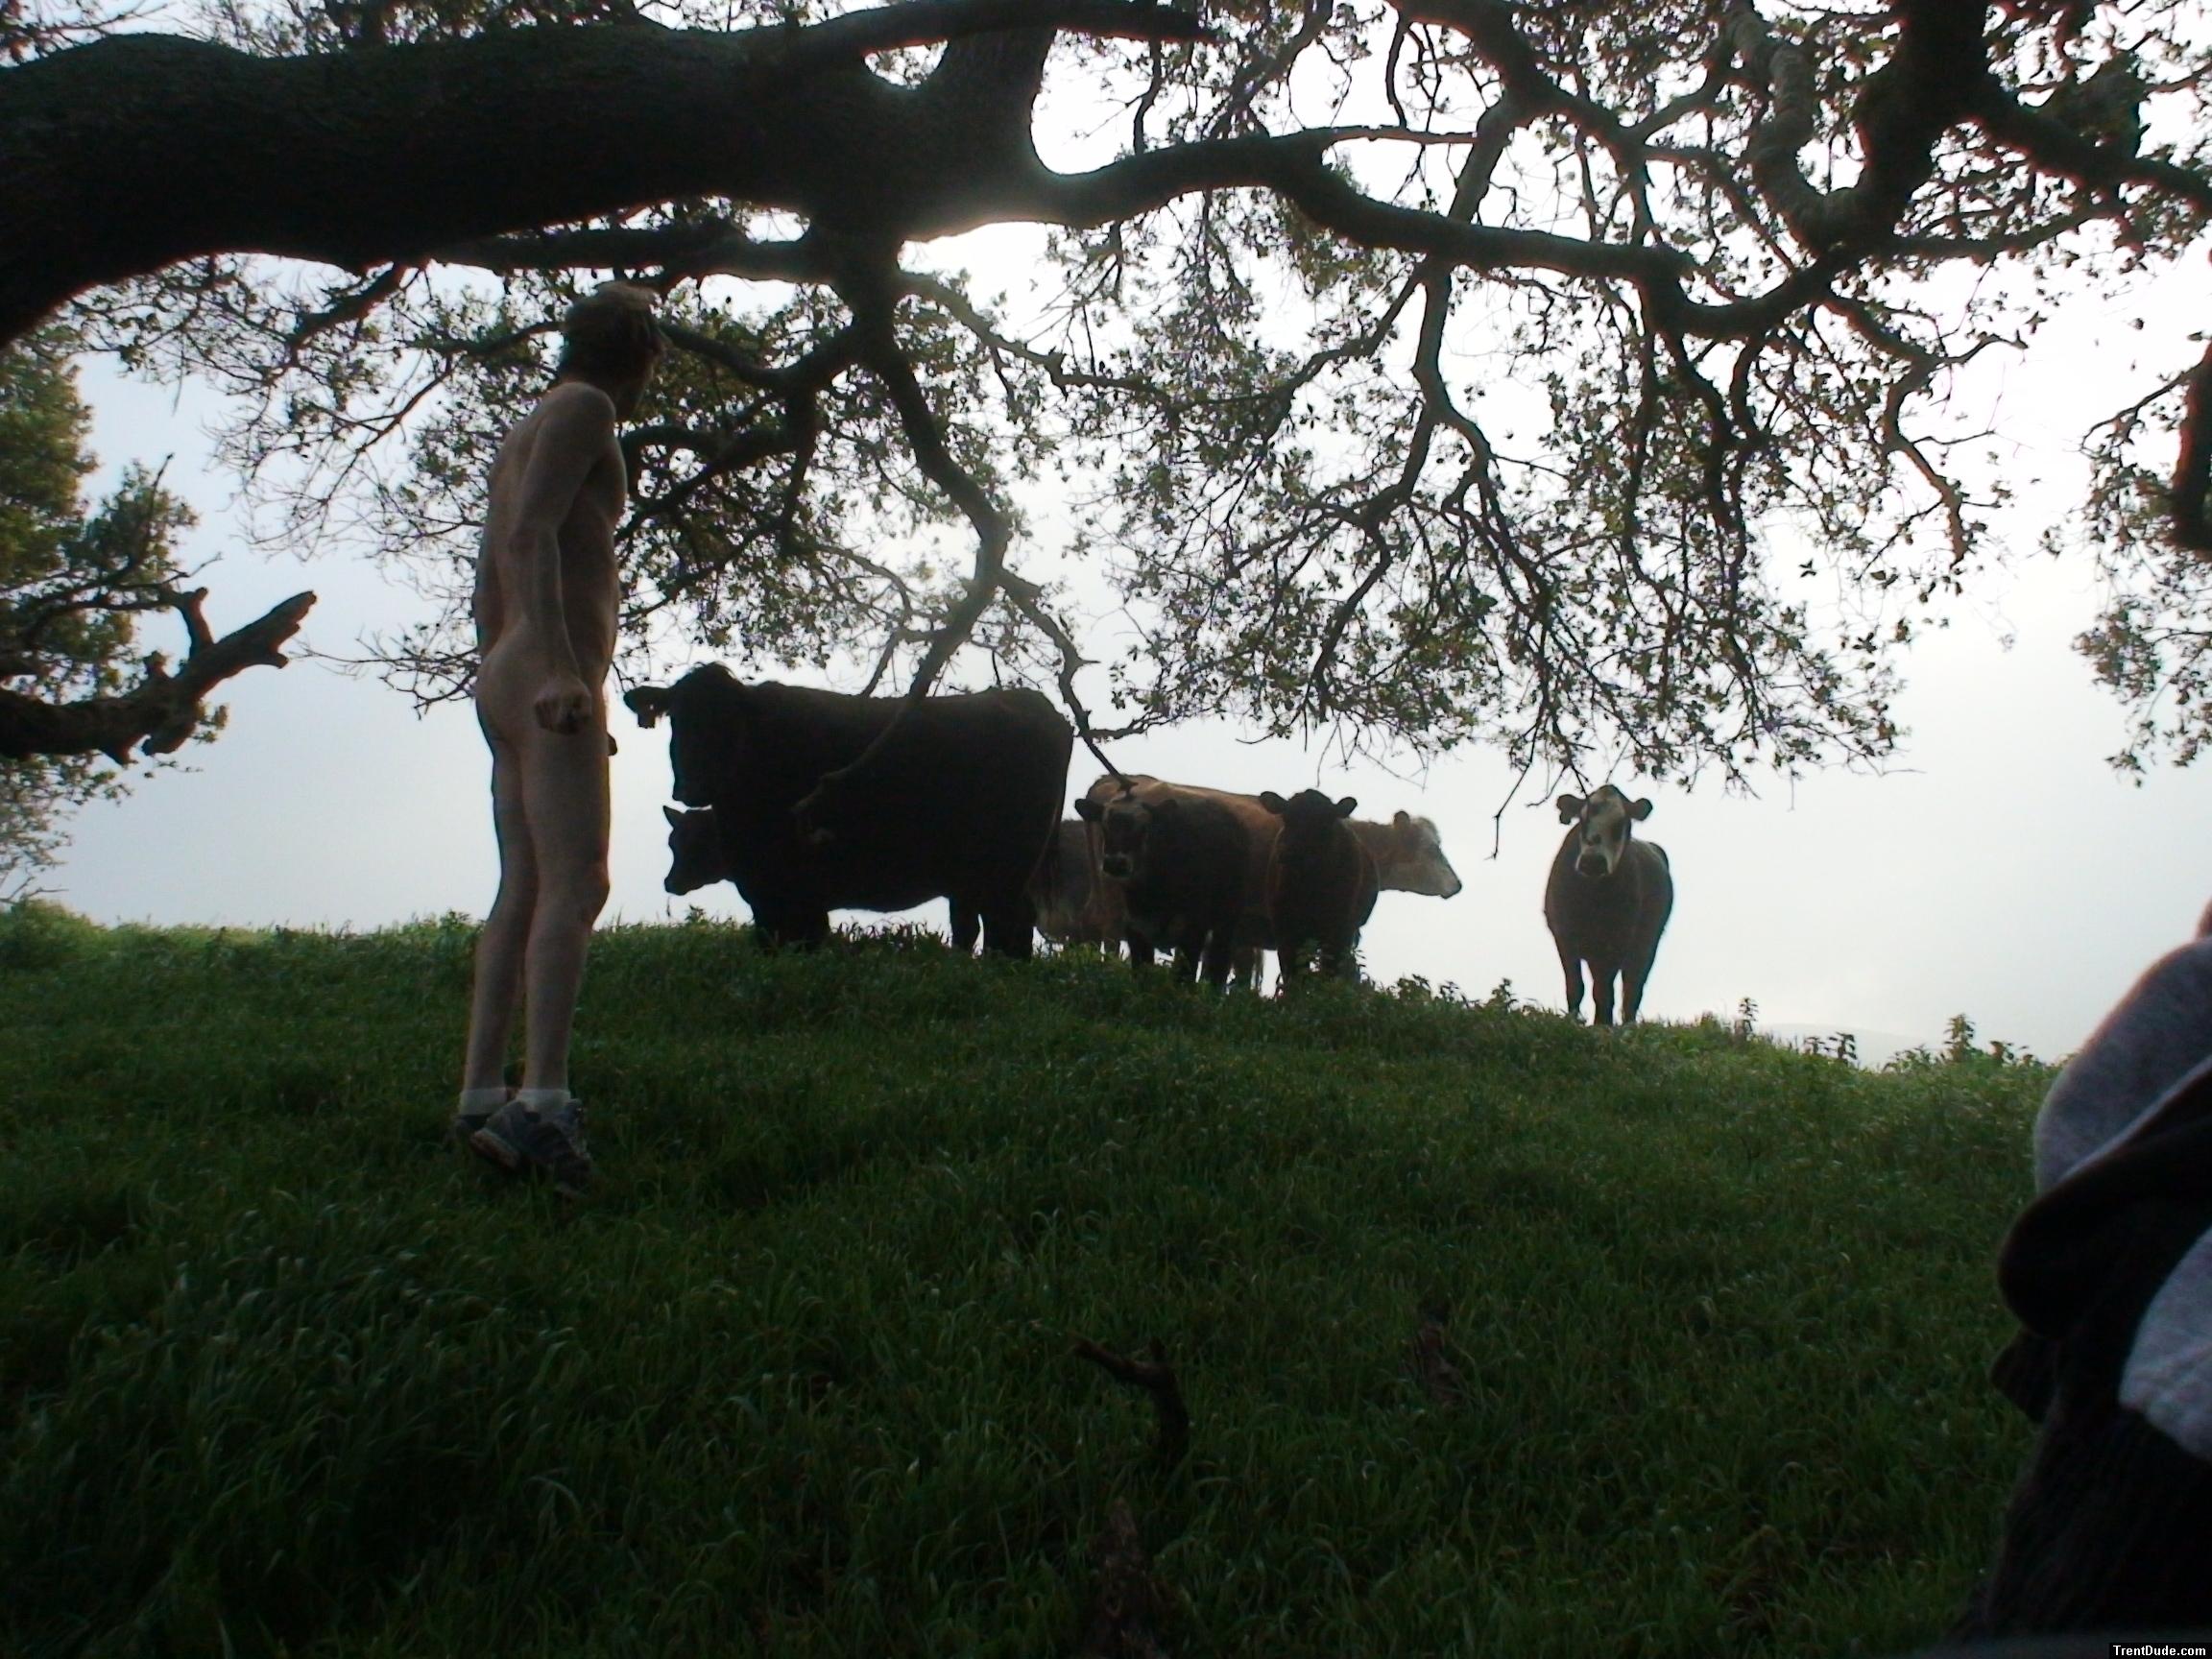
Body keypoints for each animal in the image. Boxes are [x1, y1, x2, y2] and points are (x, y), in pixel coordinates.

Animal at [625, 667, 1072, 957]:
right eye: (677, 720)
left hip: (1008, 864)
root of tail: (1031, 701)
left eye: (728, 724)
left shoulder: (796, 889)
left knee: (1010, 922)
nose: (692, 786)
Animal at [1072, 786, 1248, 987]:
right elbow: (1142, 972)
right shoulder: (1136, 929)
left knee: (1220, 961)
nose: (1115, 863)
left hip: (1227, 920)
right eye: (1105, 826)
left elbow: (1185, 976)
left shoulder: (1194, 928)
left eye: (1144, 828)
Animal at [1261, 789, 1379, 985]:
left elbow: (1331, 970)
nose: (1289, 851)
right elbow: (1293, 973)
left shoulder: (1340, 928)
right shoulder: (1284, 928)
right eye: (1286, 818)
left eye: (1324, 823)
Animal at [1543, 785, 1673, 1025]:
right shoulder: (1563, 936)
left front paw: (1602, 1024)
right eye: (1582, 820)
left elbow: (1604, 991)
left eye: (1620, 824)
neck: (1591, 896)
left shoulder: (1616, 942)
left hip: (1647, 944)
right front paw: (1573, 1021)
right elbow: (1575, 987)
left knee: (1632, 989)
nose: (1592, 861)